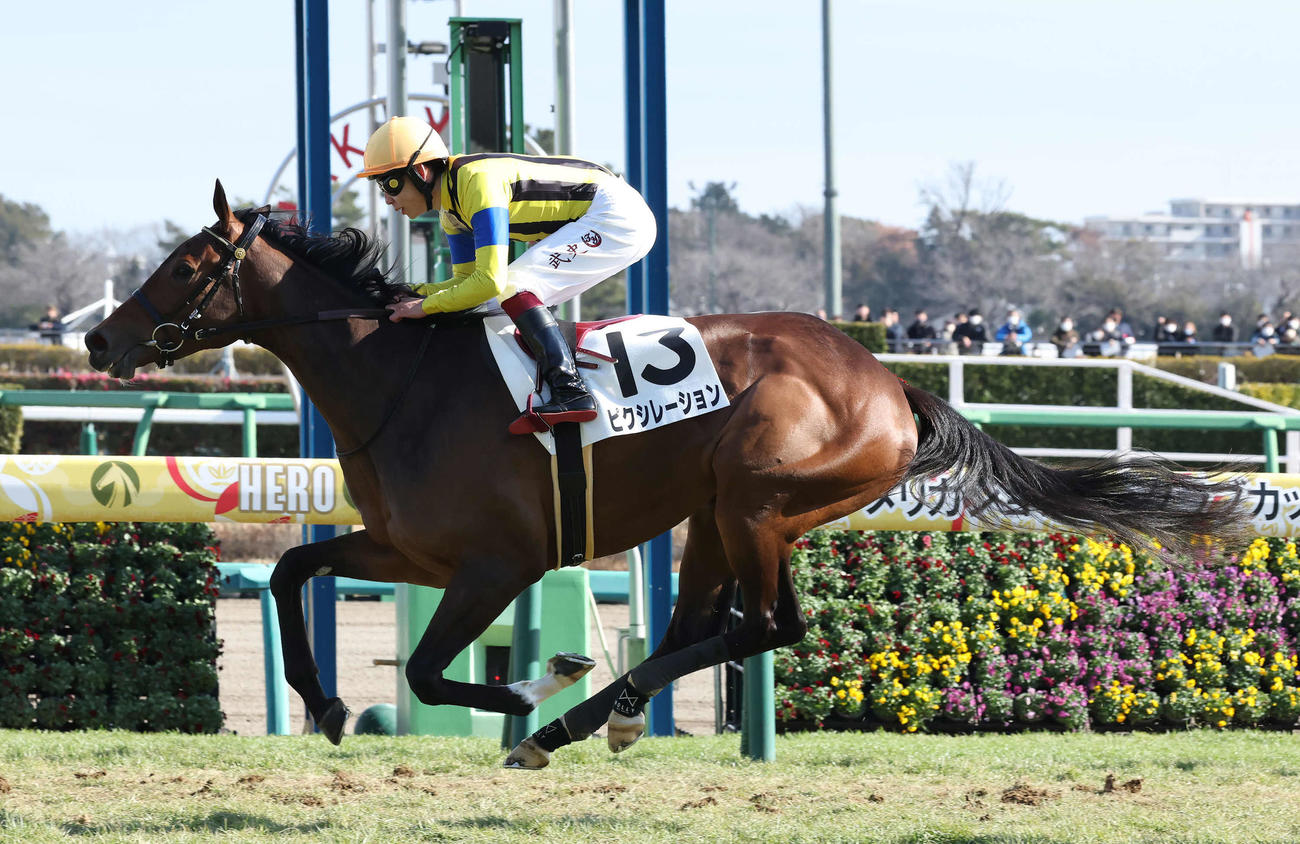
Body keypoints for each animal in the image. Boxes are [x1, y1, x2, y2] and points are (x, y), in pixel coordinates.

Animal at [86, 181, 1245, 768]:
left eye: (184, 266)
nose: (100, 338)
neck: (399, 377)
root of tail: (888, 381)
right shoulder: (415, 548)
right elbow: (292, 573)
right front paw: (326, 704)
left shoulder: (501, 562)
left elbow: (425, 672)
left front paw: (526, 684)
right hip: (713, 516)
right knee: (700, 626)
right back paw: (604, 714)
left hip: (759, 495)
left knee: (764, 625)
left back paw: (566, 717)